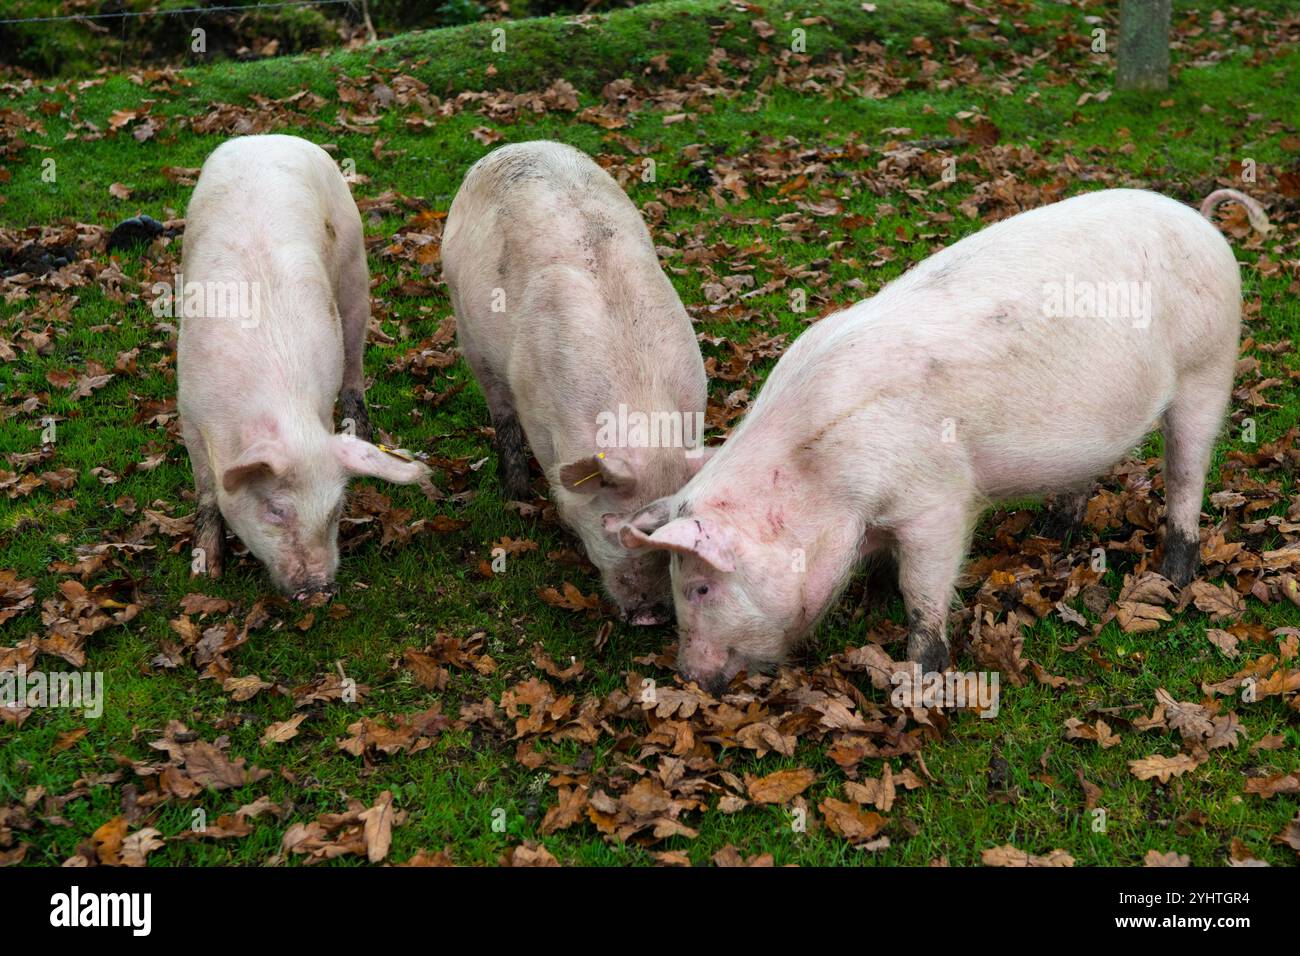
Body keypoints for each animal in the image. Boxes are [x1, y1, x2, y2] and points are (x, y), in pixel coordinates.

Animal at [176, 134, 426, 598]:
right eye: (276, 510)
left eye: (335, 510)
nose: (318, 591)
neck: (280, 402)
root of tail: (267, 136)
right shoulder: (189, 410)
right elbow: (206, 491)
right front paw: (205, 573)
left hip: (355, 268)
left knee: (355, 369)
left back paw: (362, 433)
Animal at [447, 138, 712, 624]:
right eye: (611, 524)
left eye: (669, 535)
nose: (650, 616)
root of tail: (519, 144)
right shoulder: (539, 414)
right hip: (466, 325)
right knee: (498, 407)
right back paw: (515, 491)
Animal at [624, 188, 1263, 697]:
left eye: (700, 586)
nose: (685, 675)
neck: (818, 475)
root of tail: (1201, 220)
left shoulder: (936, 502)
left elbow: (923, 588)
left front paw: (921, 675)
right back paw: (1053, 532)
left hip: (1208, 367)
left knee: (1187, 470)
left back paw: (1173, 578)